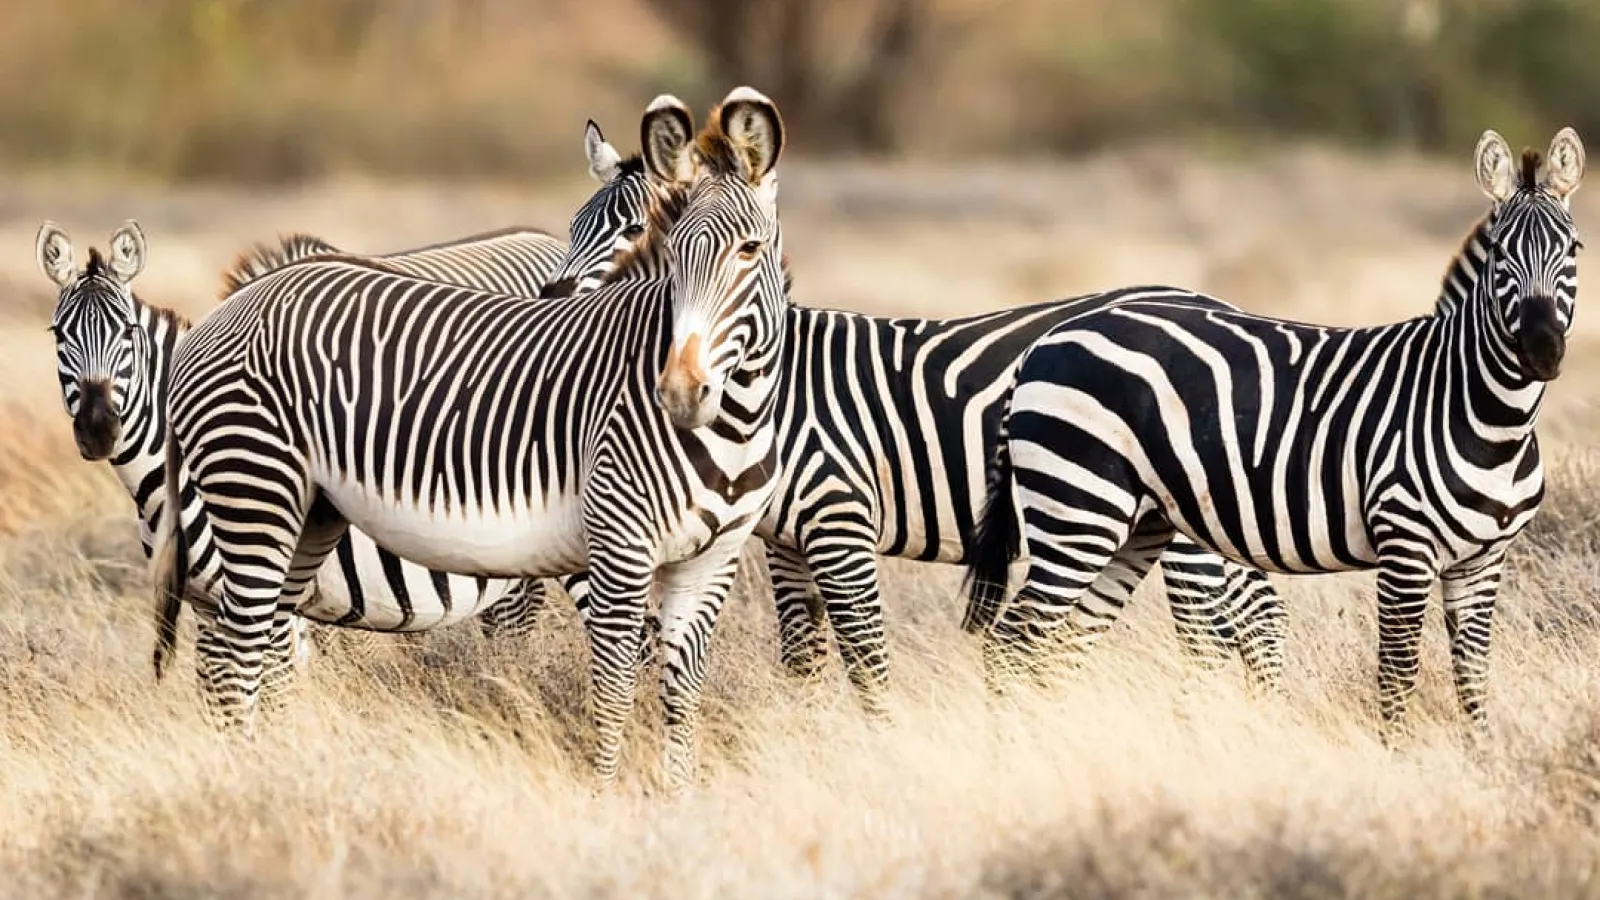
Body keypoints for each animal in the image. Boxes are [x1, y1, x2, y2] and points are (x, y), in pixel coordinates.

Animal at [151, 87, 792, 789]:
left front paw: (676, 799)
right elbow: (615, 689)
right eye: (673, 253)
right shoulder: (618, 547)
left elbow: (681, 694)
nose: (679, 392)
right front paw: (605, 798)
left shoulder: (711, 561)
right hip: (254, 486)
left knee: (260, 648)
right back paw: (245, 777)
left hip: (308, 511)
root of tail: (221, 313)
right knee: (231, 657)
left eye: (749, 251)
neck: (736, 420)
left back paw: (280, 769)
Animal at [962, 127, 1584, 740]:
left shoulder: (1483, 560)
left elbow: (1474, 682)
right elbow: (1397, 675)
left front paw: (1479, 756)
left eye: (1575, 250)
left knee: (1060, 643)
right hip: (1079, 510)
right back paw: (1015, 749)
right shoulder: (1404, 547)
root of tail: (1047, 341)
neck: (1486, 418)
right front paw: (1398, 756)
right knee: (1011, 644)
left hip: (1136, 525)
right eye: (1500, 254)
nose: (1541, 350)